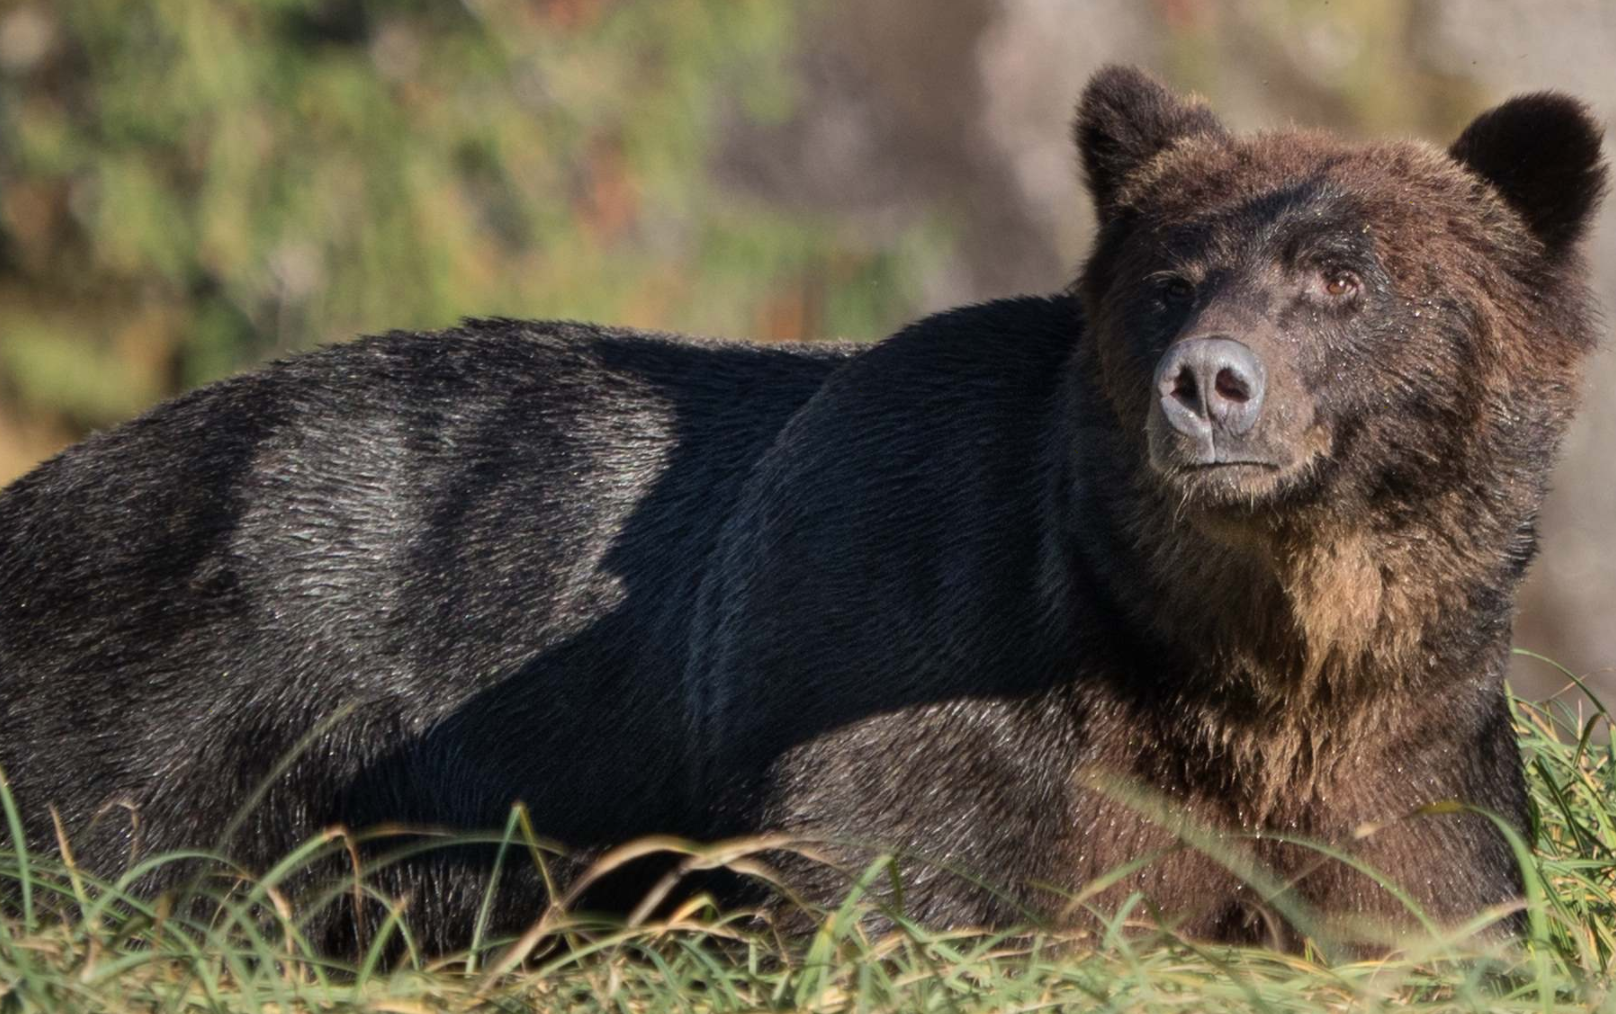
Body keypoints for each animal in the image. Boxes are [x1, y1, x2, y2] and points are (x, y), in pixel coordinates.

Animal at [0, 65, 1603, 950]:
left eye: (1342, 276)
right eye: (1171, 278)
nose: (1208, 386)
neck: (1233, 664)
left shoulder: (1399, 765)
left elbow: (1418, 897)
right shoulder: (918, 655)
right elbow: (887, 865)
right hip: (178, 696)